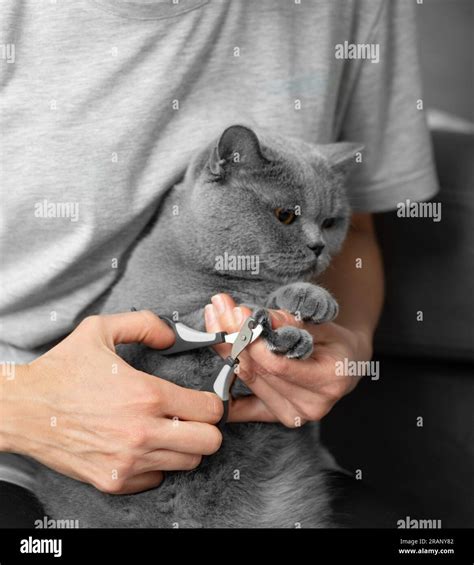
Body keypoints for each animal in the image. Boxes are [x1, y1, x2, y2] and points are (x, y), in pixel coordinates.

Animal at [35, 125, 362, 528]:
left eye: (331, 222)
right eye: (285, 215)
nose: (319, 246)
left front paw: (308, 301)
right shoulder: (165, 350)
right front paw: (287, 327)